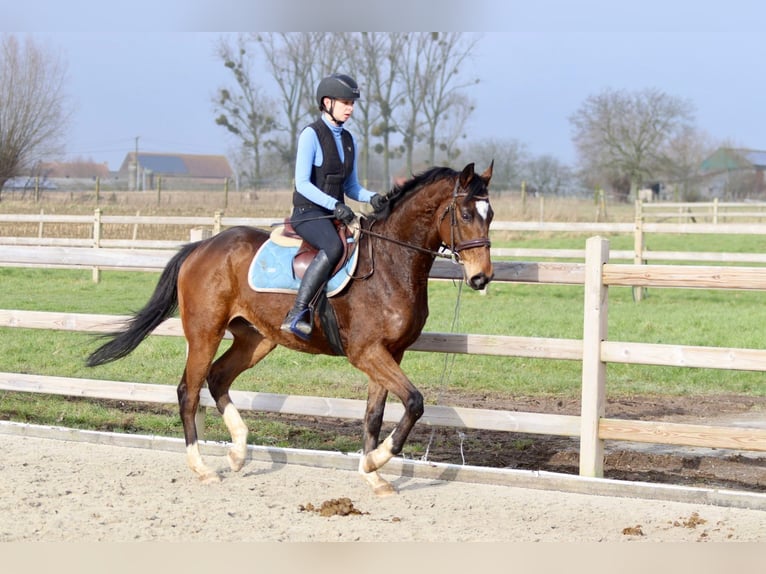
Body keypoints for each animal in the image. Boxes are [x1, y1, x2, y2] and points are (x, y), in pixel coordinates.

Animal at [88, 161, 498, 496]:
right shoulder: (366, 352)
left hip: (256, 339)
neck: (389, 263)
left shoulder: (389, 353)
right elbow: (414, 402)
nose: (481, 277)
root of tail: (202, 246)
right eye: (464, 213)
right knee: (189, 390)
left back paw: (238, 452)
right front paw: (377, 460)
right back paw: (203, 467)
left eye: (490, 214)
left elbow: (375, 415)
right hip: (205, 332)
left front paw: (372, 474)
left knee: (218, 378)